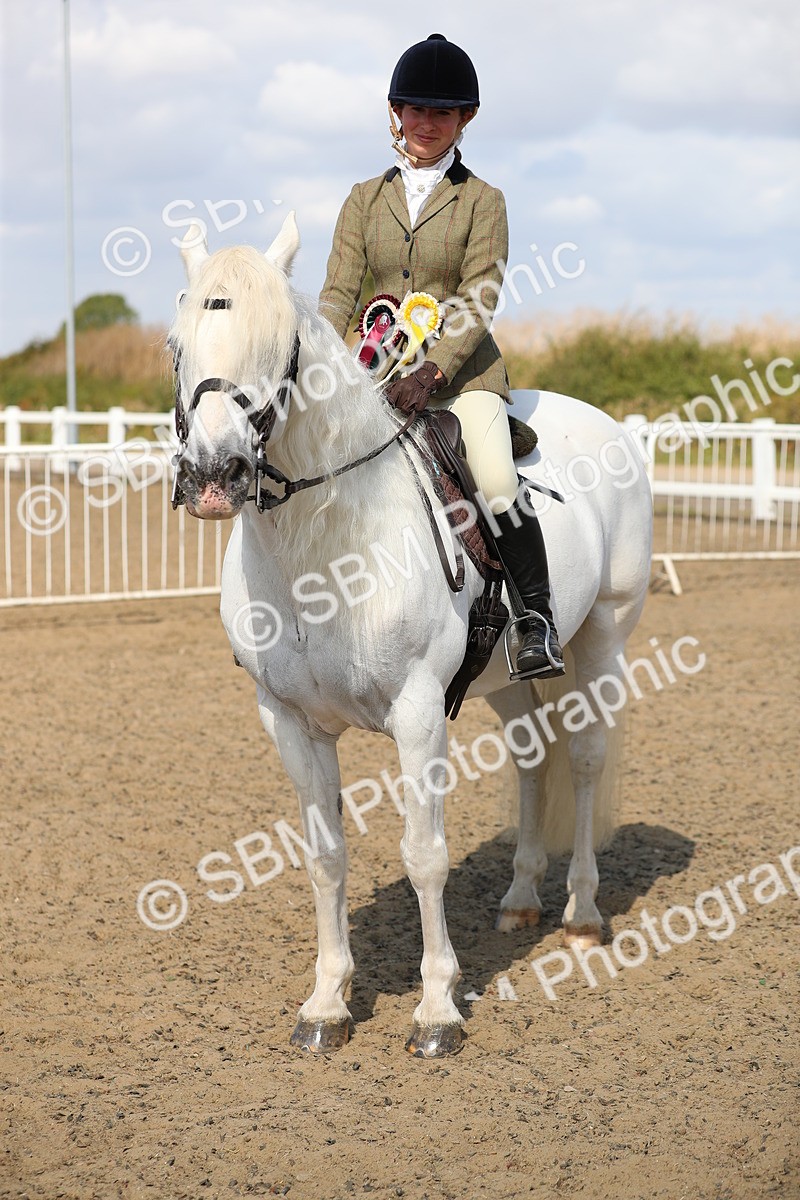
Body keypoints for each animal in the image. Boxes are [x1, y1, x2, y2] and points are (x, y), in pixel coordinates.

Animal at [168, 213, 653, 1058]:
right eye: (176, 343)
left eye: (280, 344)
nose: (214, 477)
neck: (325, 543)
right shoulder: (288, 722)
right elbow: (326, 857)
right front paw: (327, 1003)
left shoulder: (420, 712)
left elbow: (425, 858)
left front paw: (436, 1011)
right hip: (508, 679)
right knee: (533, 759)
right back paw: (520, 898)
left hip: (602, 639)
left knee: (588, 761)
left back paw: (582, 914)